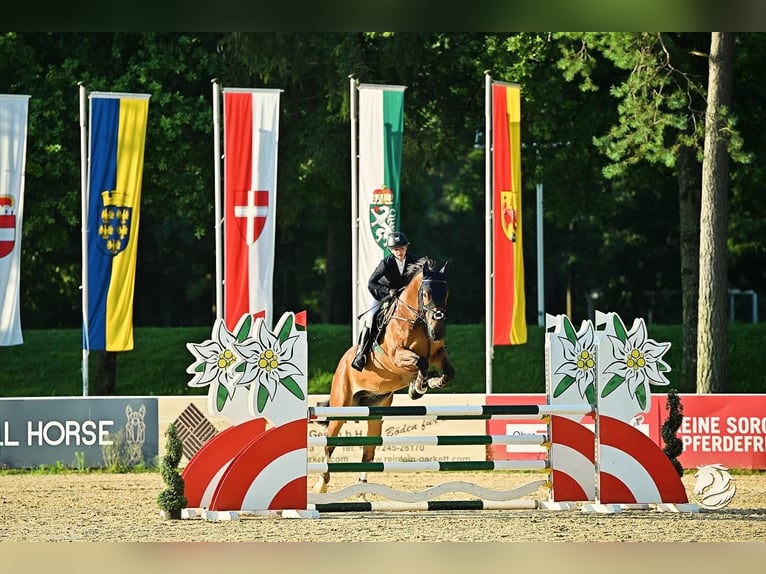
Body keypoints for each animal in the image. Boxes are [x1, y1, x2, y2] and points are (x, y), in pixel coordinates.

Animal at [316, 258, 460, 496]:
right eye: (426, 294)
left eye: (446, 293)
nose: (437, 332)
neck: (417, 321)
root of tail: (341, 363)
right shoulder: (397, 355)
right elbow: (420, 362)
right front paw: (418, 387)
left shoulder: (437, 353)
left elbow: (448, 372)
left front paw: (431, 381)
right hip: (341, 406)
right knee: (329, 443)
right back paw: (322, 485)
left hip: (375, 411)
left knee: (368, 450)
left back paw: (362, 489)